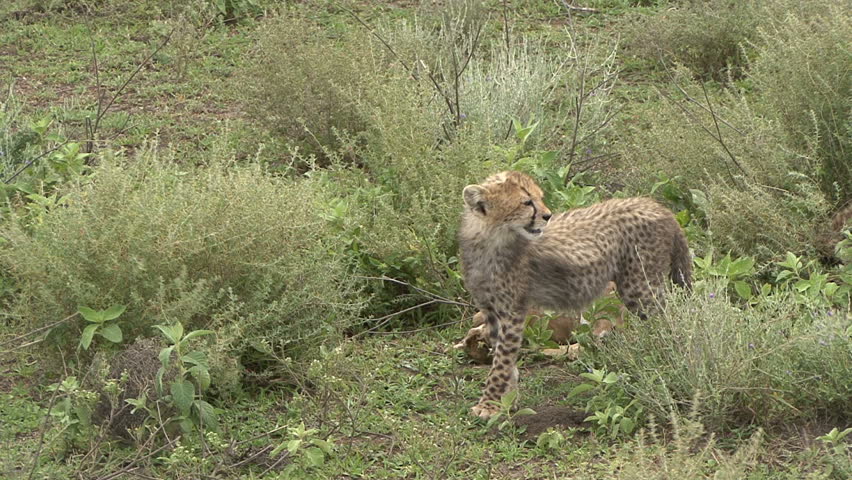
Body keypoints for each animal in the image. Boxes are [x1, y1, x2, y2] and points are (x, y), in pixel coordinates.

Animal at [460, 171, 692, 418]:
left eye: (540, 197)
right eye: (527, 202)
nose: (547, 215)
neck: (491, 239)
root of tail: (656, 205)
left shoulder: (512, 311)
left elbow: (501, 362)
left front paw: (489, 405)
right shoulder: (491, 310)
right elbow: (504, 358)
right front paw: (507, 402)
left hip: (638, 287)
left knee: (664, 323)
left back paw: (664, 360)